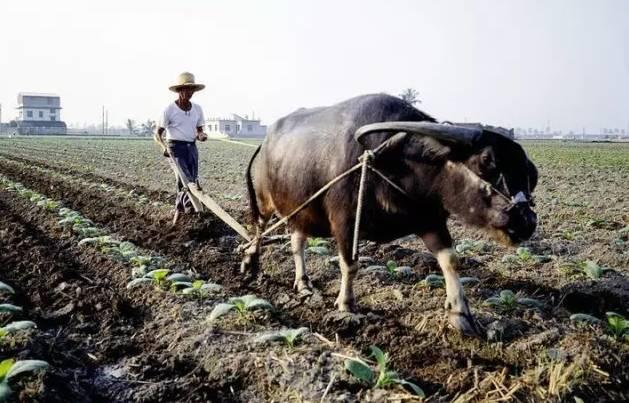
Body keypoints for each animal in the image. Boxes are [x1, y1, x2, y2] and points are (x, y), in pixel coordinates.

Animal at [240, 94, 536, 334]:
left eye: (530, 173)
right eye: (487, 161)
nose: (527, 222)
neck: (397, 161)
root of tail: (266, 142)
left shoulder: (430, 220)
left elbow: (450, 260)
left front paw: (460, 313)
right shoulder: (344, 223)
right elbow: (350, 264)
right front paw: (346, 304)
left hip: (300, 211)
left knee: (297, 242)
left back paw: (303, 283)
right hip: (266, 201)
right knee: (259, 229)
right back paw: (250, 262)